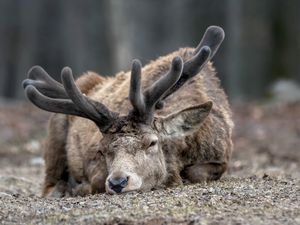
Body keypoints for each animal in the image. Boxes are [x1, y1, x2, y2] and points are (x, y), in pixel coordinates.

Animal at [23, 25, 234, 196]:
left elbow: (196, 172)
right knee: (49, 184)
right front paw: (79, 187)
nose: (118, 182)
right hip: (55, 134)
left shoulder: (221, 155)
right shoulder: (94, 168)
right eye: (101, 150)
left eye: (152, 142)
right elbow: (94, 183)